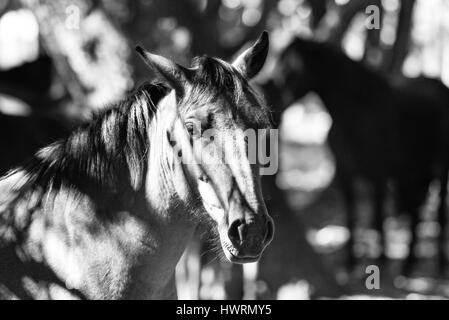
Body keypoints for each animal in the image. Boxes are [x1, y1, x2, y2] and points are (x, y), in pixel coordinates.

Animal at [260, 37, 448, 272]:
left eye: (290, 71)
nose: (271, 114)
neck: (356, 113)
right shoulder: (345, 174)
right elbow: (352, 216)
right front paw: (350, 262)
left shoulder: (378, 175)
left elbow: (378, 217)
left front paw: (381, 261)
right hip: (414, 169)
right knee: (415, 209)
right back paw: (409, 263)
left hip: (437, 167)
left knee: (438, 211)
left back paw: (438, 264)